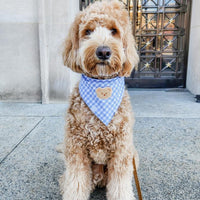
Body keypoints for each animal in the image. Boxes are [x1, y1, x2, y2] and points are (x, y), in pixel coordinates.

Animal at [60, 0, 140, 200]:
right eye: (88, 31)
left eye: (114, 30)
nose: (103, 51)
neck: (101, 88)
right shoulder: (76, 147)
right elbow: (76, 182)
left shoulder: (122, 149)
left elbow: (120, 185)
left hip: (133, 155)